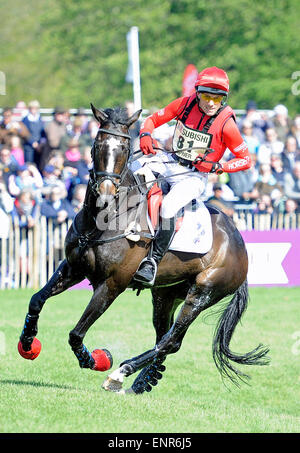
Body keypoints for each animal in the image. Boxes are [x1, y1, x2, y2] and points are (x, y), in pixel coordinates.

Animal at [18, 102, 270, 392]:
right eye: (97, 144)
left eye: (125, 149)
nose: (105, 194)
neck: (102, 220)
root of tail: (240, 243)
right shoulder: (73, 267)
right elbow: (36, 300)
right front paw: (27, 343)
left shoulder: (111, 285)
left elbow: (76, 333)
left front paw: (95, 359)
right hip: (165, 293)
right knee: (165, 338)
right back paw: (145, 379)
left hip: (202, 293)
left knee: (171, 340)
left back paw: (120, 373)